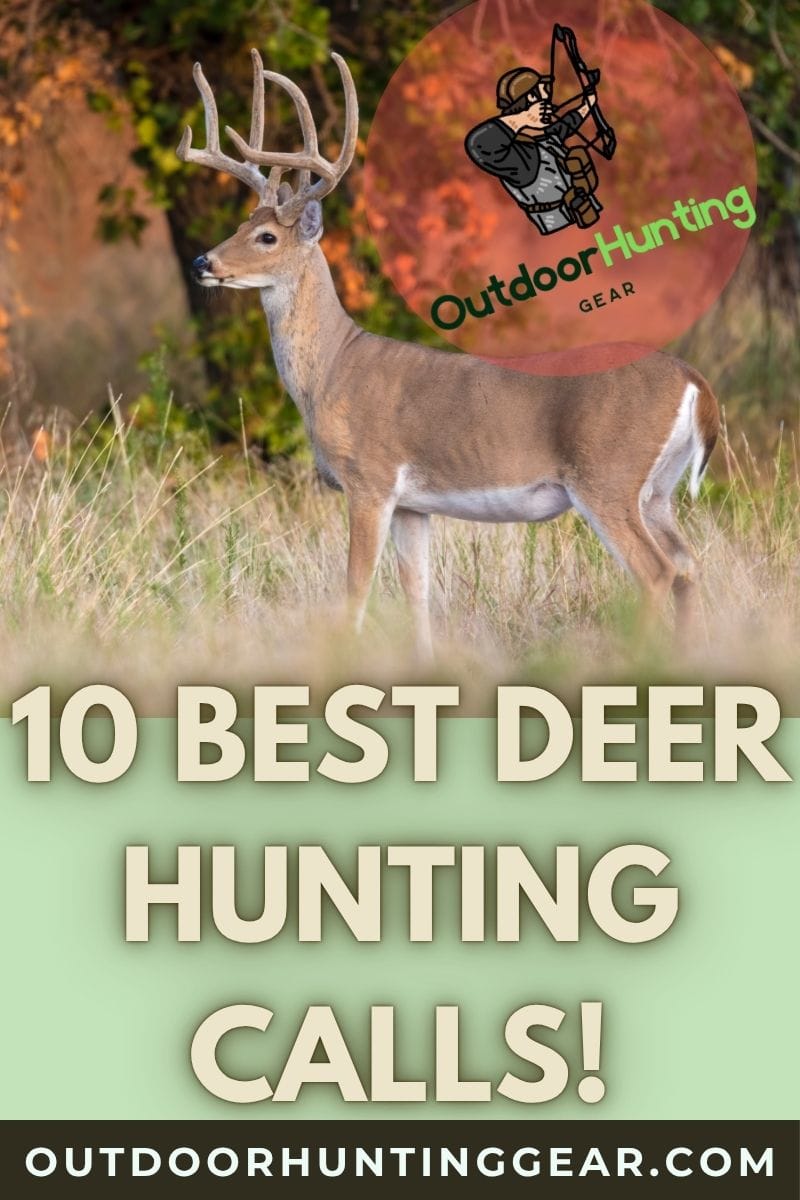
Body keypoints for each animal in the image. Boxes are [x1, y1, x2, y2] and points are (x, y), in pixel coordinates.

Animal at [177, 49, 719, 658]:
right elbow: (418, 591)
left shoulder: (371, 479)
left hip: (608, 476)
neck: (333, 371)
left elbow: (356, 591)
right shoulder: (415, 505)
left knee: (657, 572)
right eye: (241, 224)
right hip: (659, 490)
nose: (201, 263)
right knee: (689, 565)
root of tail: (695, 383)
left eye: (267, 237)